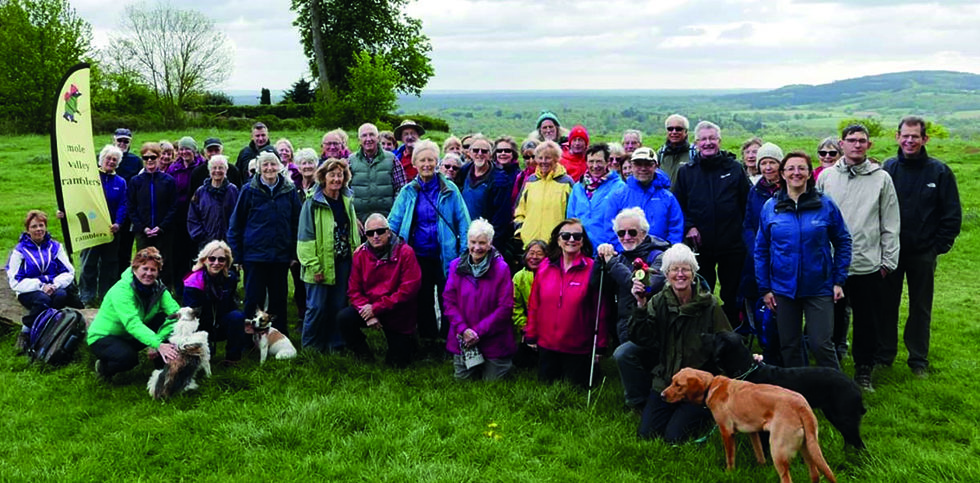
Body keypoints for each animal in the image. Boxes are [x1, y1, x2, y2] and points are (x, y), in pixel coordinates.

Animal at [664, 368, 832, 482]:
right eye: (672, 381)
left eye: (678, 385)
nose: (661, 395)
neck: (712, 386)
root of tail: (801, 405)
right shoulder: (753, 432)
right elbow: (759, 455)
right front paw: (761, 469)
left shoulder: (726, 431)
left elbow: (730, 458)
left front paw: (729, 473)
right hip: (808, 448)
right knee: (815, 474)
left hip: (778, 450)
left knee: (787, 479)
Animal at [704, 332, 864, 450]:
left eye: (714, 337)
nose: (702, 334)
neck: (747, 369)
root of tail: (855, 386)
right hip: (834, 415)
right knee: (850, 440)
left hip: (844, 418)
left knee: (859, 444)